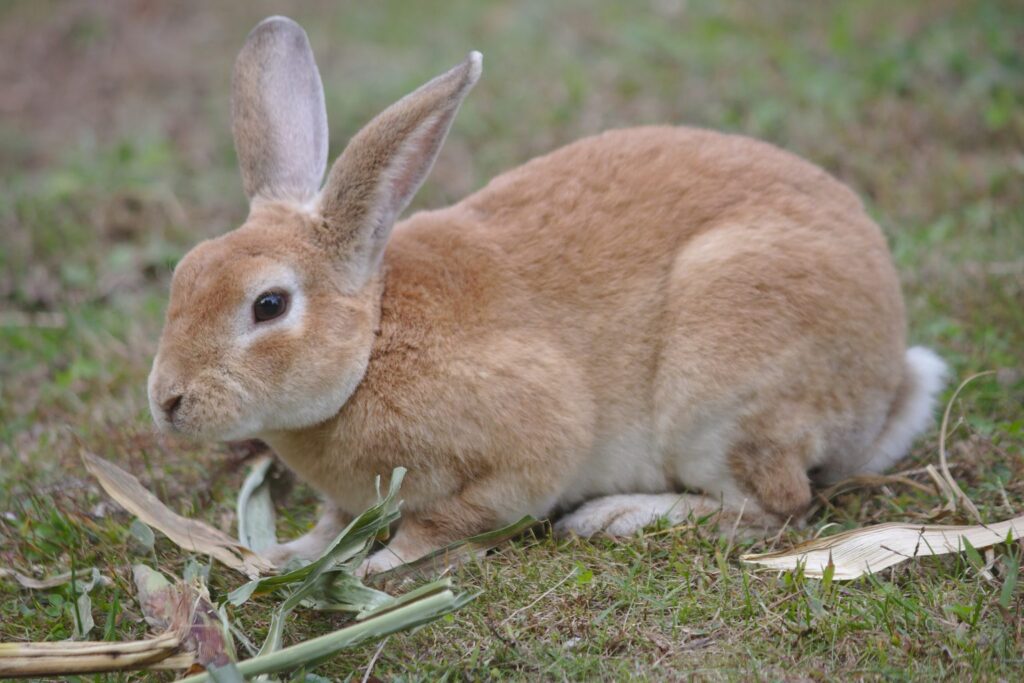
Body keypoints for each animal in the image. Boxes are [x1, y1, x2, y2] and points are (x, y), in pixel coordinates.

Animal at [147, 16, 948, 576]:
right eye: (183, 276)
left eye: (269, 305)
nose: (167, 401)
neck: (373, 340)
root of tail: (884, 377)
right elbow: (330, 520)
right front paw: (289, 554)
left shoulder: (529, 450)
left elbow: (452, 521)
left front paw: (383, 564)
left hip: (721, 389)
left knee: (776, 505)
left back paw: (615, 517)